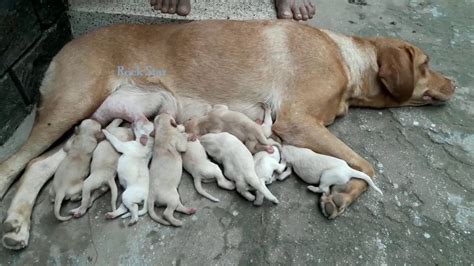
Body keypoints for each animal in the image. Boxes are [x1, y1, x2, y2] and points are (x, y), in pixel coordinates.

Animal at [0, 20, 456, 249]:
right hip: (72, 106)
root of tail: (63, 48)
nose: (455, 84)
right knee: (14, 163)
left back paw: (18, 224)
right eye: (426, 64)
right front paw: (341, 194)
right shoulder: (295, 121)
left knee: (38, 165)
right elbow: (366, 165)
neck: (345, 59)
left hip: (93, 124)